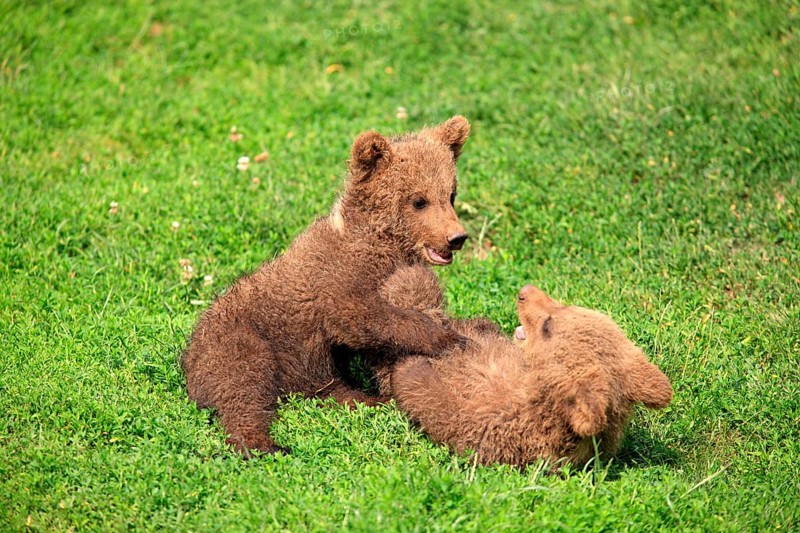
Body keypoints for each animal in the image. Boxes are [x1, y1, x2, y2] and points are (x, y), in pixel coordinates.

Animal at [181, 117, 473, 455]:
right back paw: (261, 443)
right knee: (242, 384)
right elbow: (357, 316)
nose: (456, 237)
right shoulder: (336, 279)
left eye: (450, 195)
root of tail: (188, 356)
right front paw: (448, 337)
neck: (380, 244)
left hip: (308, 371)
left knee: (328, 389)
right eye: (419, 200)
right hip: (239, 339)